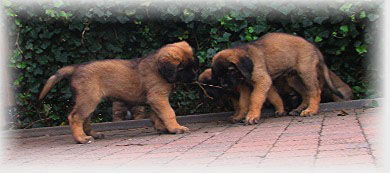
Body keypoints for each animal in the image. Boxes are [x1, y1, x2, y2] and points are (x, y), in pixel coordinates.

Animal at [38, 41, 198, 144]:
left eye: (192, 65)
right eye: (182, 68)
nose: (195, 76)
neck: (159, 69)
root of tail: (76, 68)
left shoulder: (155, 99)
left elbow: (157, 115)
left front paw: (162, 129)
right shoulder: (158, 97)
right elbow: (169, 113)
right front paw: (176, 128)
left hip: (87, 100)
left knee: (86, 120)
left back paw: (94, 134)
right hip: (88, 99)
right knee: (75, 117)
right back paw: (82, 139)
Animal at [212, 32, 346, 124]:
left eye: (231, 71)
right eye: (218, 76)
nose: (224, 85)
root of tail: (313, 46)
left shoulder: (262, 81)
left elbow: (255, 98)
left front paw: (252, 116)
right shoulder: (248, 86)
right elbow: (247, 102)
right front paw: (240, 116)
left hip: (306, 72)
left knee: (315, 91)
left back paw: (311, 110)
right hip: (292, 78)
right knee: (305, 93)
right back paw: (298, 109)